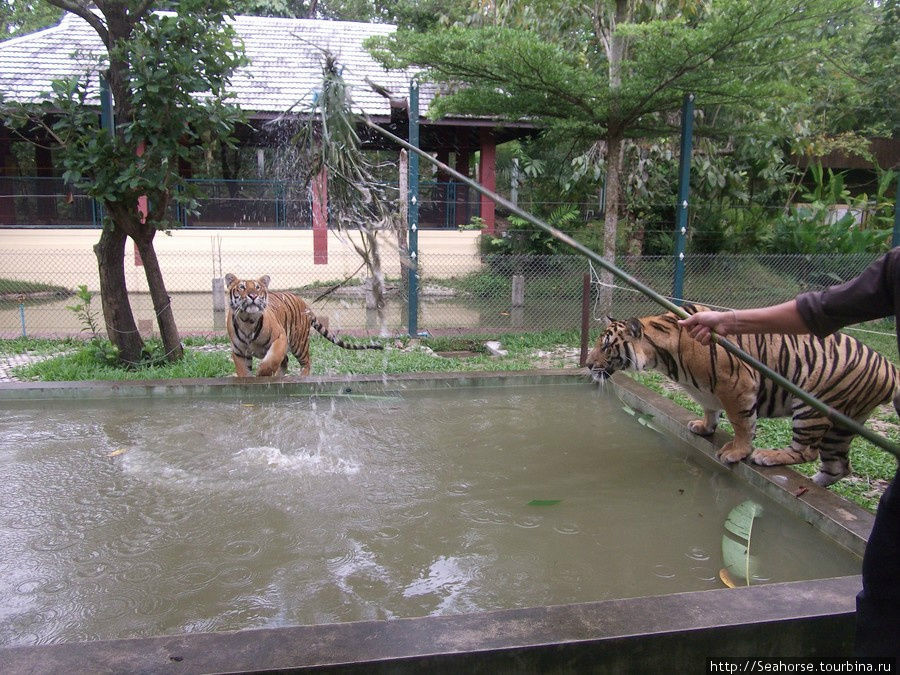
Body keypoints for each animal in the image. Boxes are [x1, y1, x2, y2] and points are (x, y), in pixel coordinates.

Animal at [225, 274, 384, 378]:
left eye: (257, 287)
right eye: (242, 287)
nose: (253, 296)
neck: (248, 321)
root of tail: (303, 302)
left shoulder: (280, 337)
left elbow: (271, 360)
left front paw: (262, 373)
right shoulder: (239, 352)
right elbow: (243, 372)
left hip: (298, 343)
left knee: (306, 361)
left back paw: (302, 377)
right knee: (286, 360)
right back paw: (280, 377)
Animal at [588, 304, 896, 488]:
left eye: (606, 347)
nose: (588, 365)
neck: (662, 356)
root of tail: (891, 368)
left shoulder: (737, 384)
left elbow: (742, 422)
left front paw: (737, 451)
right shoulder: (706, 391)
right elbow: (710, 408)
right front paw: (704, 427)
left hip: (813, 407)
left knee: (807, 450)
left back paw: (768, 456)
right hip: (843, 424)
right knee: (837, 465)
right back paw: (811, 485)